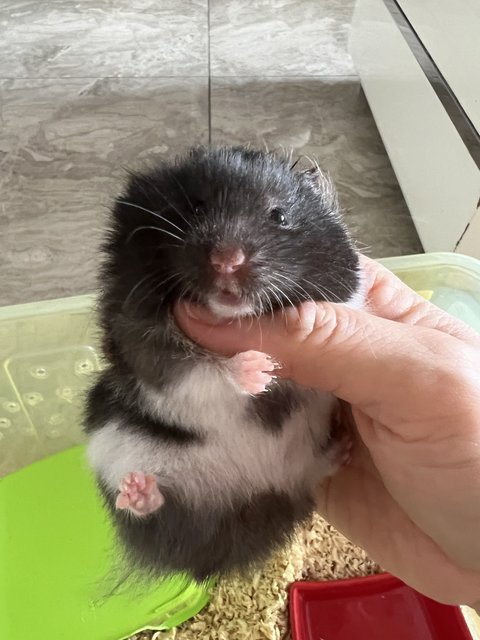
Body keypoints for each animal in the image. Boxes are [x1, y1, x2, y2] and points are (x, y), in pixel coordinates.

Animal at [84, 148, 360, 584]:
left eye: (279, 216)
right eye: (195, 206)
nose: (227, 260)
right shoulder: (143, 343)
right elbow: (199, 370)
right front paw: (259, 369)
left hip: (297, 471)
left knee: (312, 471)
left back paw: (342, 449)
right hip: (115, 438)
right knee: (161, 512)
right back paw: (140, 492)